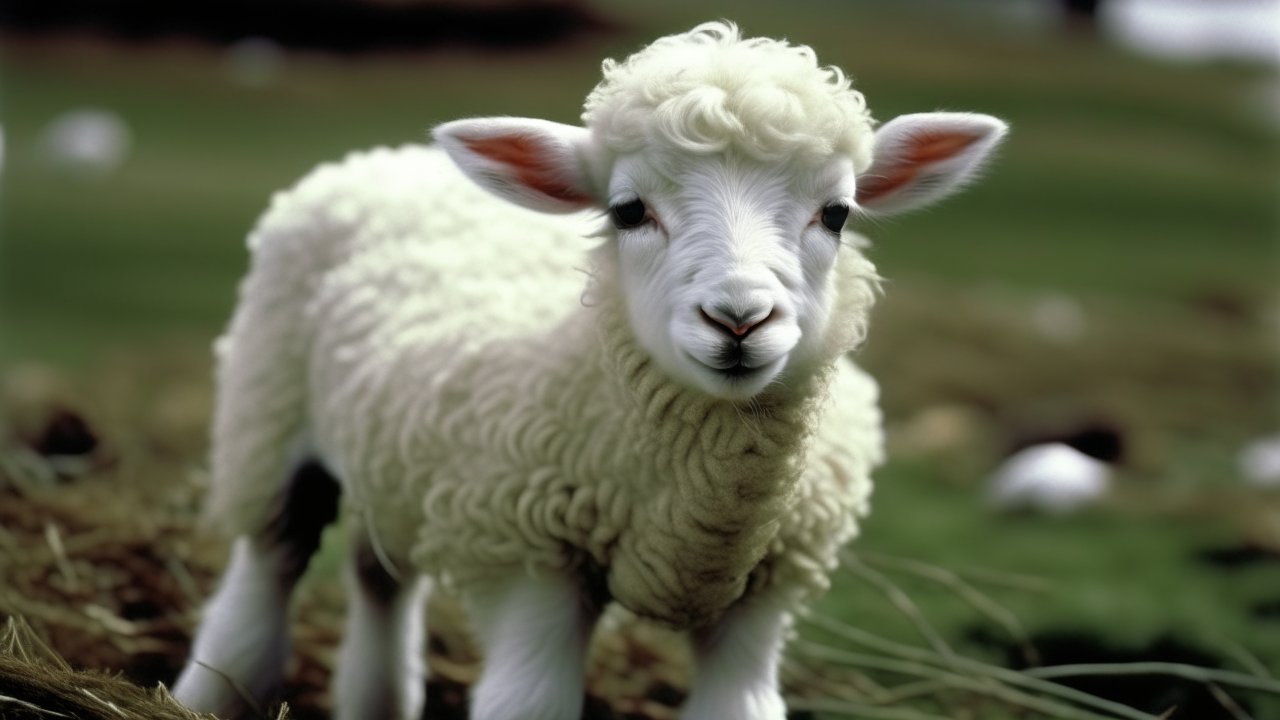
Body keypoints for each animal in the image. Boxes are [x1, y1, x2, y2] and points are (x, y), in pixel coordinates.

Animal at [172, 21, 1007, 720]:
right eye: (628, 210)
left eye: (836, 214)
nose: (739, 319)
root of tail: (391, 157)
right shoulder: (527, 554)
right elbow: (530, 703)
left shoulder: (769, 583)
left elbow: (740, 706)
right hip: (265, 416)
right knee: (266, 571)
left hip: (390, 467)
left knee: (379, 578)